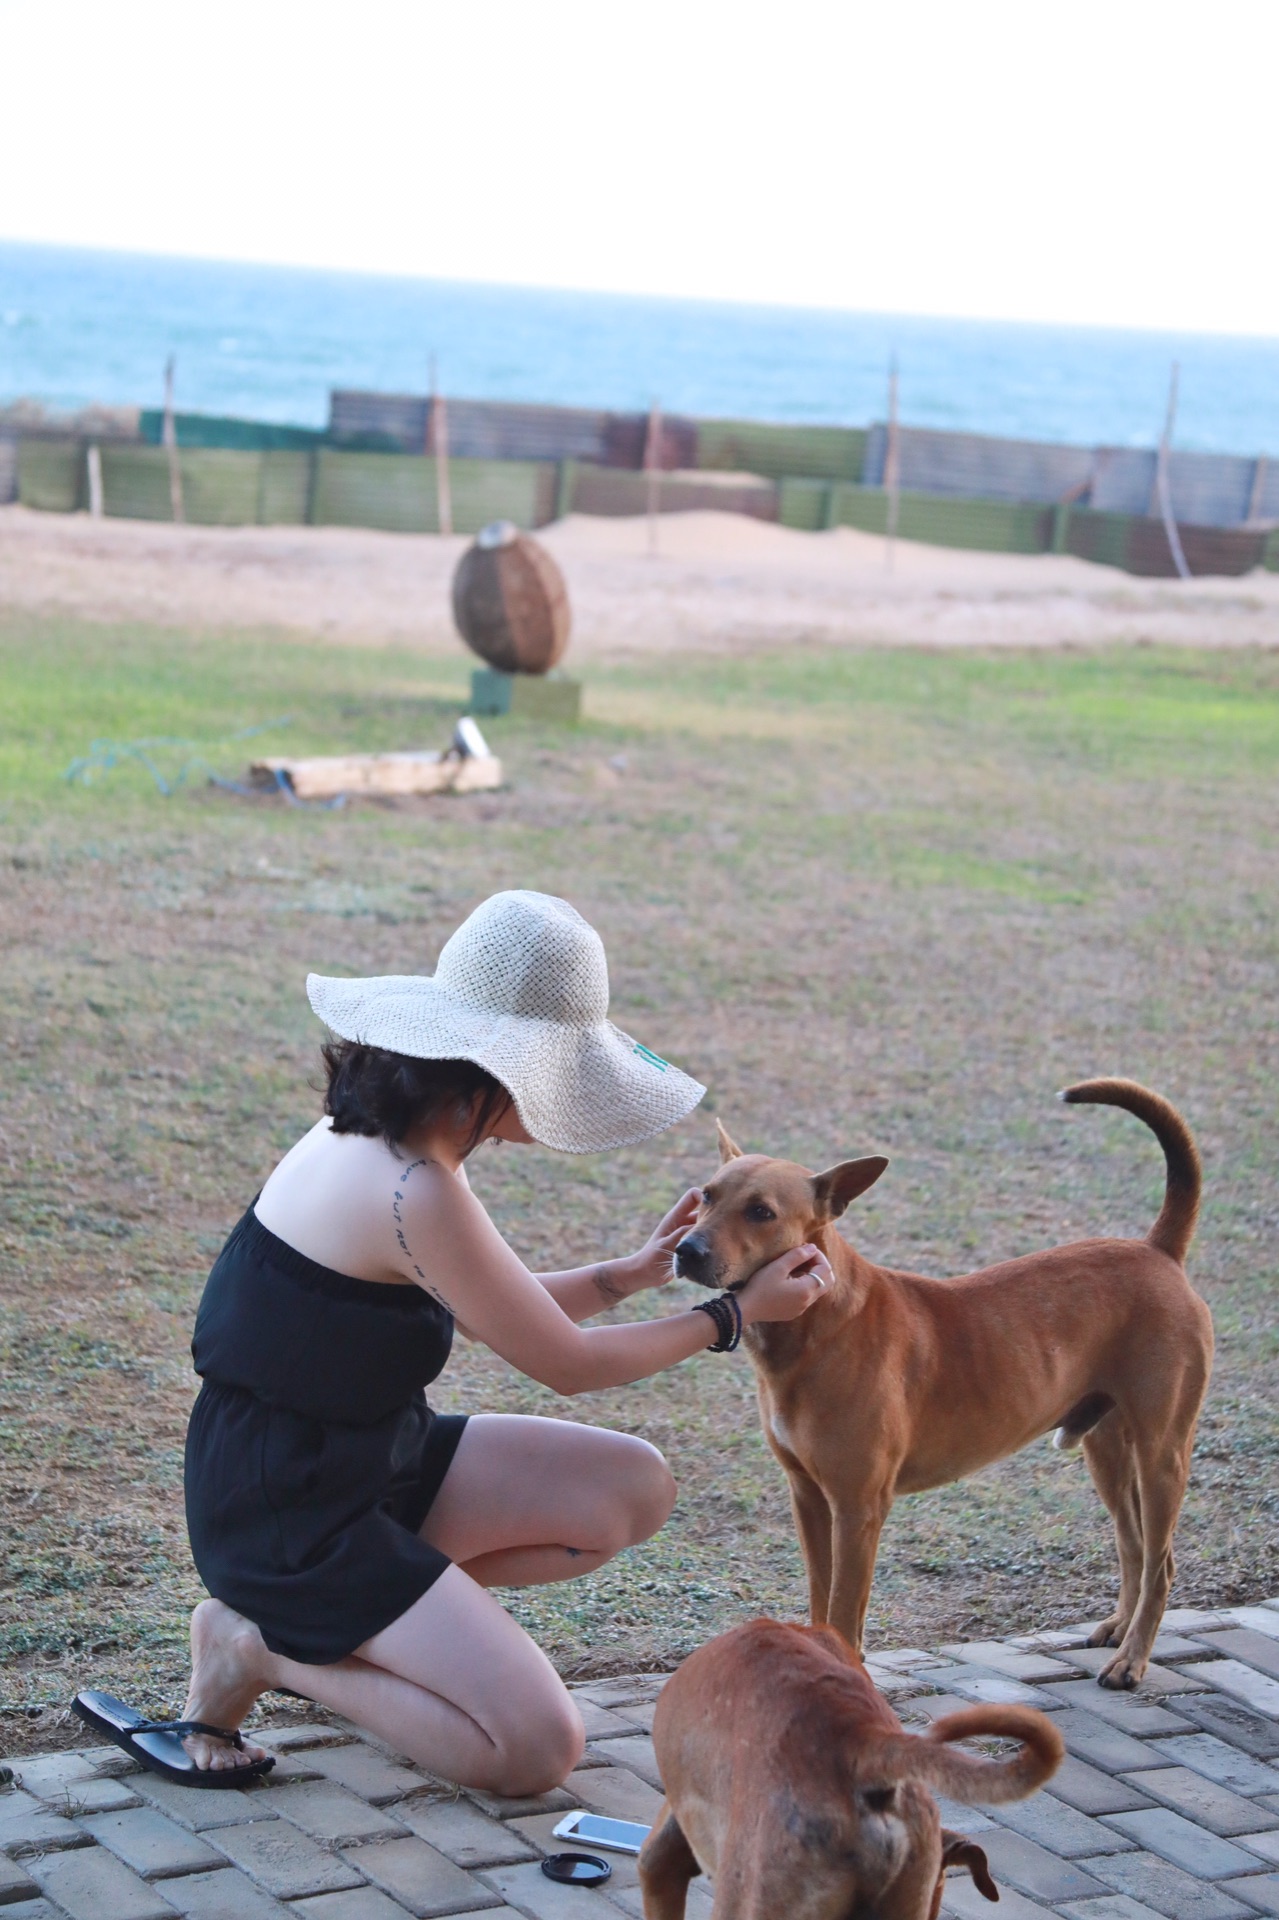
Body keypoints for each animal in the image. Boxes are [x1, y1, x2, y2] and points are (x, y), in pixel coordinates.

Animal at [672, 1090, 1213, 1689]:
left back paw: (1134, 1658)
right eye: (706, 1196)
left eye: (761, 1212)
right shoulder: (808, 1498)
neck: (816, 1325)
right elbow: (819, 1596)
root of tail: (1157, 1250)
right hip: (1106, 1450)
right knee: (1134, 1546)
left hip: (1161, 1454)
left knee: (1162, 1561)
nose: (686, 1249)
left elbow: (843, 1608)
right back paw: (1120, 1627)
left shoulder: (858, 1508)